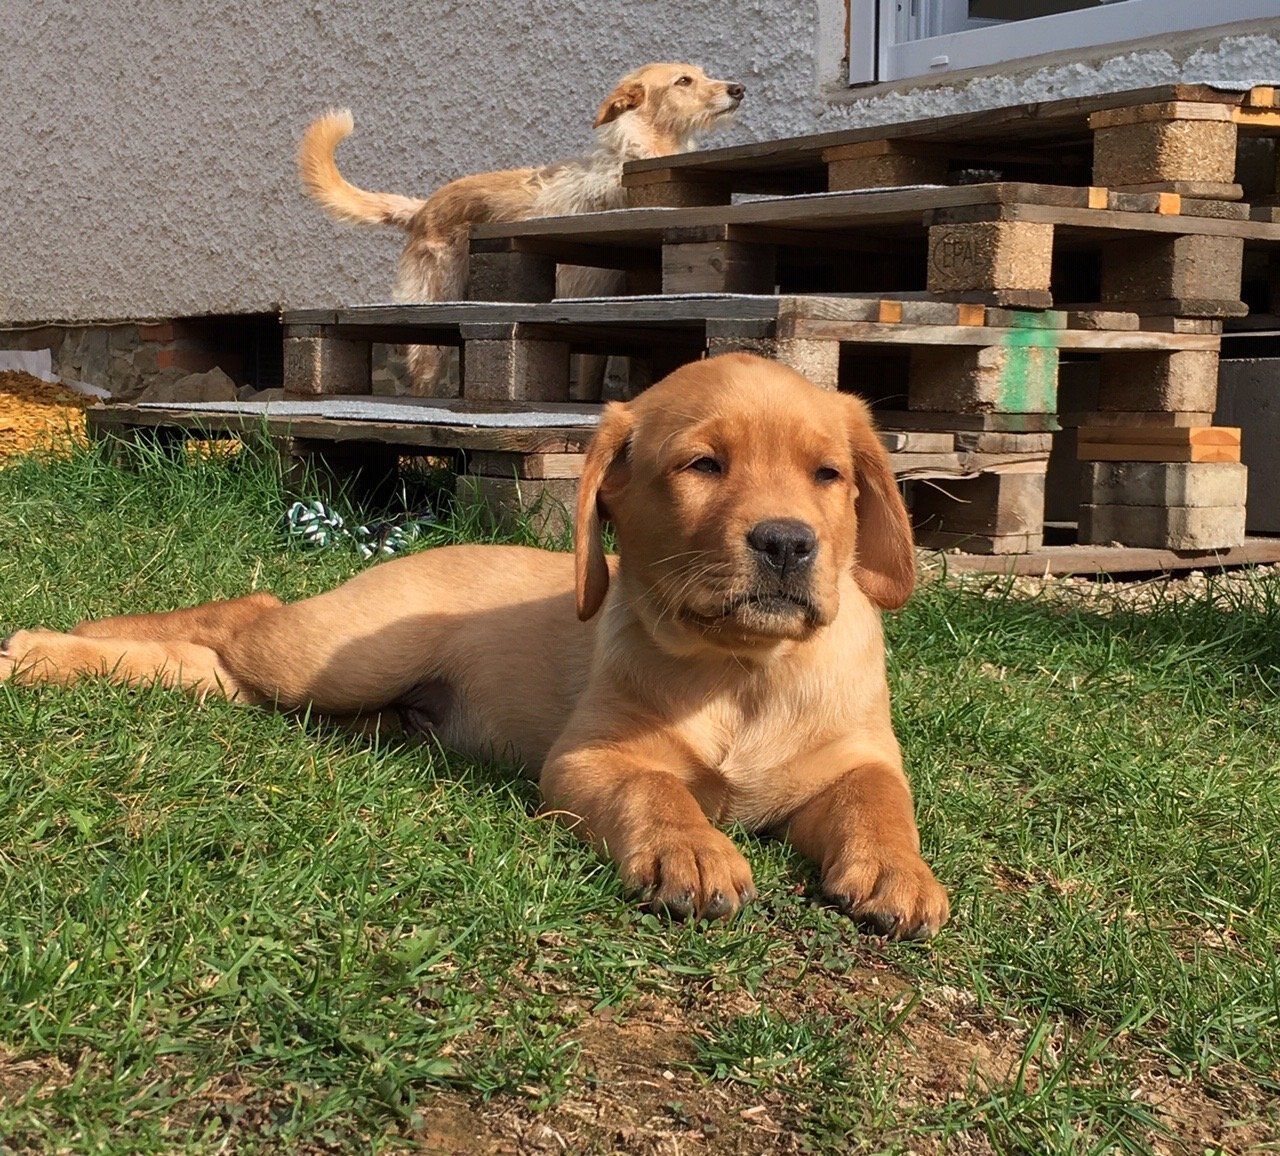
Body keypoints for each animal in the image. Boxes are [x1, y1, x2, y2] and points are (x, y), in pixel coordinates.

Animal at [0, 354, 948, 938]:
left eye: (828, 475)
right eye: (702, 466)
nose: (787, 543)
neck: (743, 671)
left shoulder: (859, 757)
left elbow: (882, 803)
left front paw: (900, 873)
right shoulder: (588, 760)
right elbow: (653, 789)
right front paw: (692, 849)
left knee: (221, 674)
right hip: (336, 657)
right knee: (241, 617)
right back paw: (49, 647)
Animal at [298, 63, 745, 395]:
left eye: (701, 73)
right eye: (683, 81)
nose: (739, 88)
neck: (634, 155)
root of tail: (424, 207)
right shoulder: (586, 299)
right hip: (433, 318)